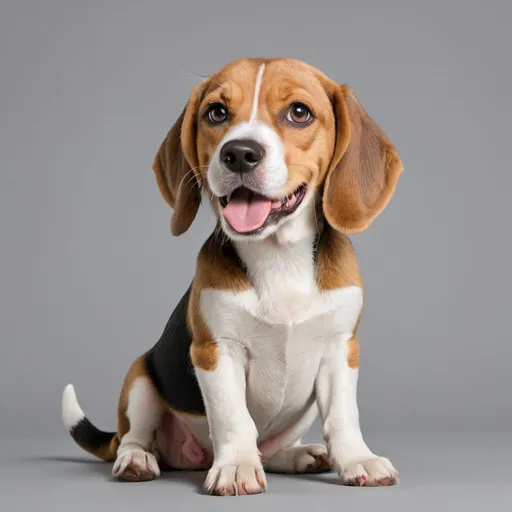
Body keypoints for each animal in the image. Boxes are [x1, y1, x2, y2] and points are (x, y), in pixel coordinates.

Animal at [61, 57, 404, 496]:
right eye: (217, 113)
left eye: (299, 112)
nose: (239, 153)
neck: (279, 256)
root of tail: (193, 456)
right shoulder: (215, 349)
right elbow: (232, 417)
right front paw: (237, 466)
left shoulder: (340, 346)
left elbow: (343, 415)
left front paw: (358, 459)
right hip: (140, 378)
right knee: (135, 436)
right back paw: (137, 460)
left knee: (272, 449)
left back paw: (299, 455)